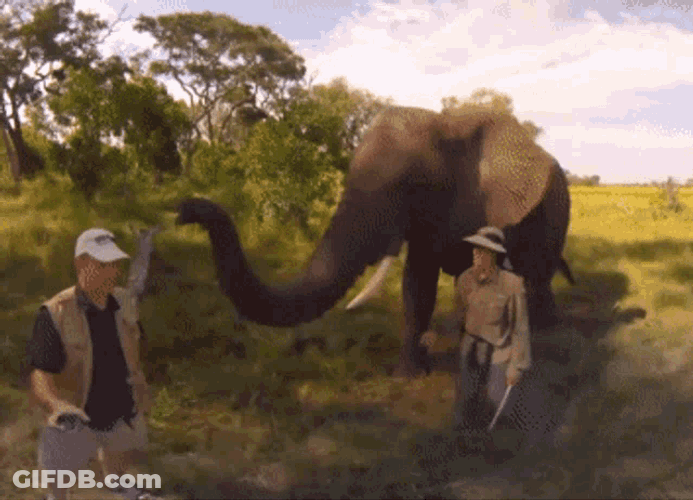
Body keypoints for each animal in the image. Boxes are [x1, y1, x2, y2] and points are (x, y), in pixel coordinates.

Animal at [175, 105, 573, 377]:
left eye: (412, 186)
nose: (184, 209)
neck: (446, 124)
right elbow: (417, 285)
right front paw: (408, 374)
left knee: (536, 273)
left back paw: (545, 329)